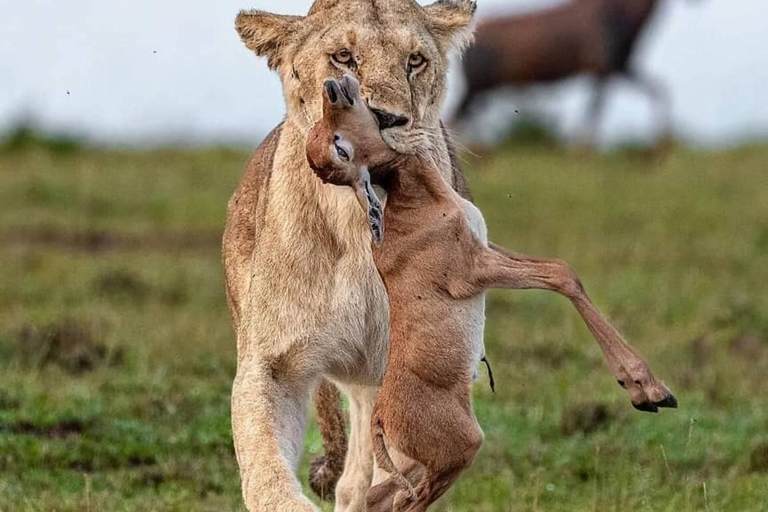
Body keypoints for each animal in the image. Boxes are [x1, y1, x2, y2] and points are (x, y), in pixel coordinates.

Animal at [304, 74, 676, 510]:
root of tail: (381, 416)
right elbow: (561, 277)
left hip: (410, 466)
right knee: (402, 503)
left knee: (375, 497)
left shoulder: (487, 246)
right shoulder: (475, 271)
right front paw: (647, 391)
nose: (332, 86)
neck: (416, 206)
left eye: (326, 134)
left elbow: (561, 267)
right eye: (339, 146)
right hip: (455, 454)